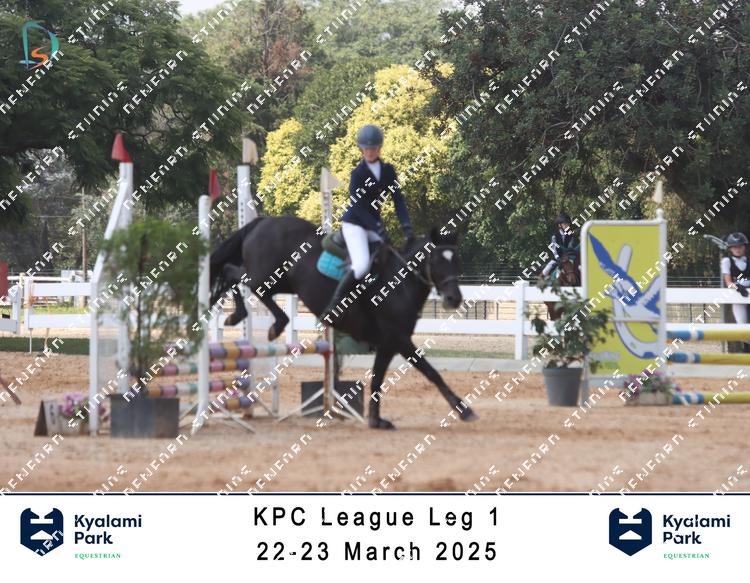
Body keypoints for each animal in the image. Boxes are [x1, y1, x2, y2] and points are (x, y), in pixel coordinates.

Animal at [208, 216, 478, 429]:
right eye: (437, 261)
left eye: (456, 260)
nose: (455, 299)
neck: (400, 284)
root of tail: (264, 221)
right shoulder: (399, 340)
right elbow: (431, 372)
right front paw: (464, 410)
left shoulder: (388, 345)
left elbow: (378, 378)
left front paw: (376, 420)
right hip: (267, 276)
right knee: (238, 276)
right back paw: (264, 321)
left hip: (282, 282)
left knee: (236, 276)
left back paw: (242, 316)